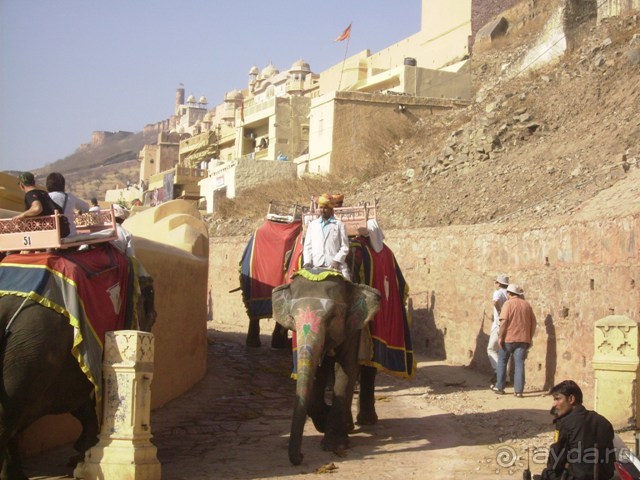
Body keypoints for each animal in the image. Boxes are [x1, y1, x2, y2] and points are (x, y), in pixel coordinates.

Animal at [0, 248, 156, 480]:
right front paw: (83, 456)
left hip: (26, 351)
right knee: (8, 419)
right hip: (31, 351)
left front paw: (80, 458)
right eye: (153, 317)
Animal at [272, 266, 382, 464]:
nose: (301, 456)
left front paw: (335, 445)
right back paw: (349, 425)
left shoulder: (353, 326)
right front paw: (324, 421)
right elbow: (318, 371)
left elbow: (347, 369)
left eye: (332, 317)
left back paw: (366, 420)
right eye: (292, 317)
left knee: (369, 368)